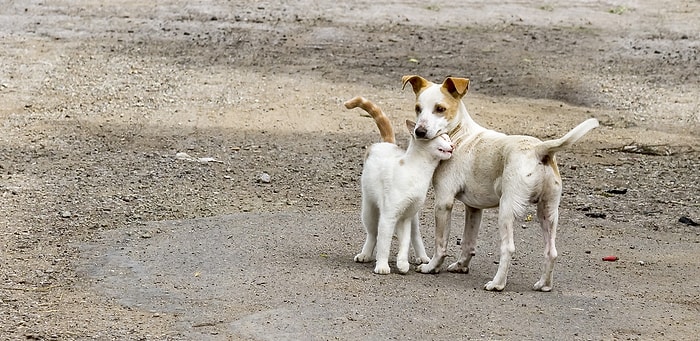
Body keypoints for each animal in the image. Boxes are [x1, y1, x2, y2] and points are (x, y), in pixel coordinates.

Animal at [344, 95, 454, 274]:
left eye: (449, 138)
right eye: (443, 138)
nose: (453, 145)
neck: (419, 171)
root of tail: (387, 143)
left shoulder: (405, 217)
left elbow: (405, 242)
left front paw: (402, 263)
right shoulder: (388, 216)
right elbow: (384, 243)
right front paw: (382, 266)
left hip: (414, 216)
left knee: (415, 236)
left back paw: (422, 257)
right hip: (369, 210)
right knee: (372, 233)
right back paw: (365, 254)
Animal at [402, 74, 600, 290]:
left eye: (440, 109)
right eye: (418, 108)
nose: (419, 131)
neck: (460, 135)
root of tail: (539, 149)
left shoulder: (443, 202)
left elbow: (441, 243)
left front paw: (432, 267)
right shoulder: (474, 208)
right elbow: (468, 242)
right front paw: (461, 266)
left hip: (506, 210)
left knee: (508, 248)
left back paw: (497, 284)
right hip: (547, 212)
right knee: (551, 251)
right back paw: (544, 284)